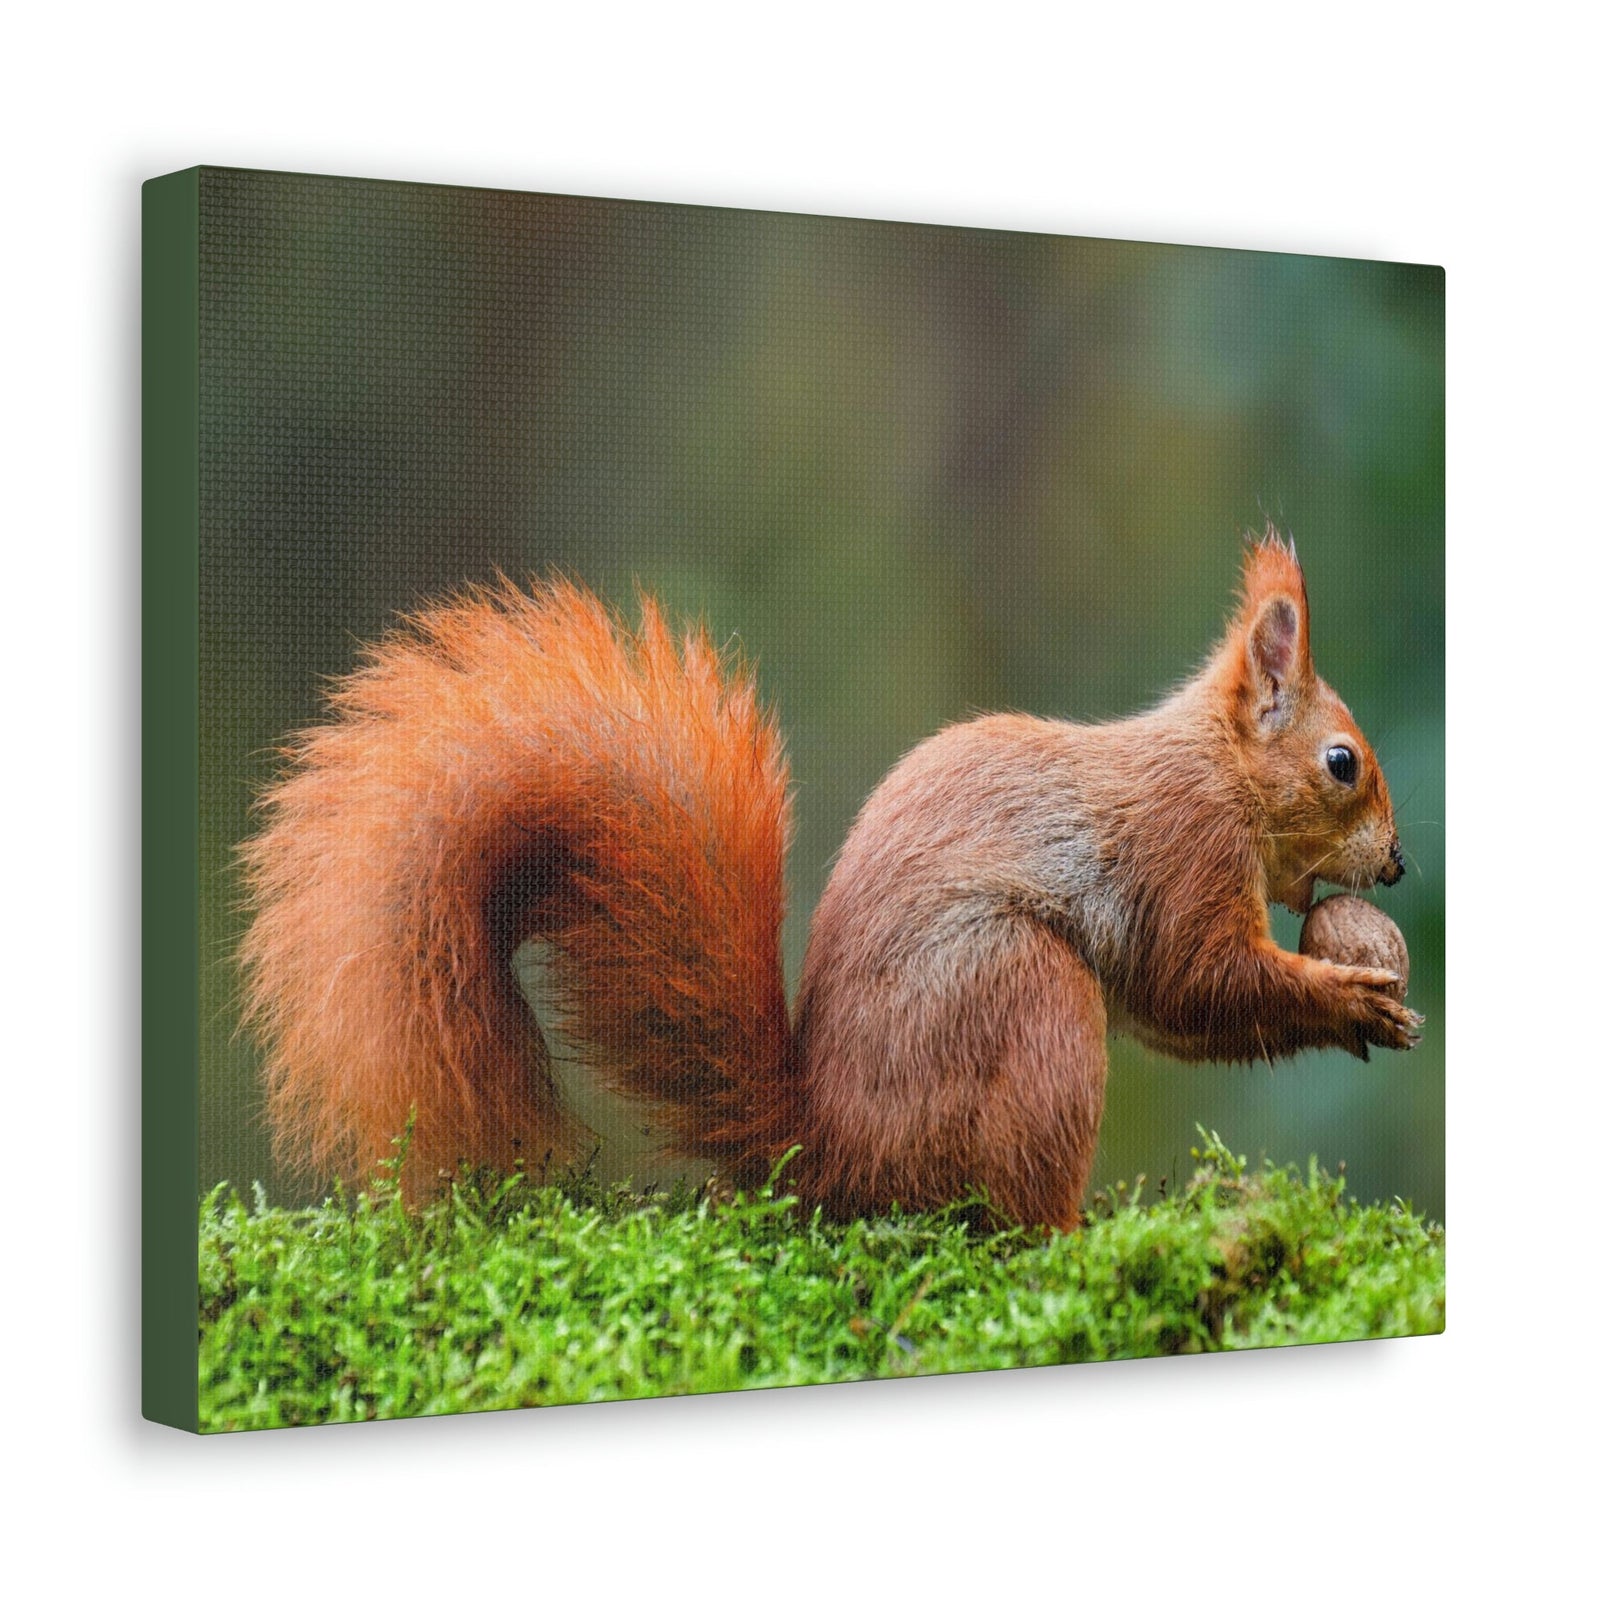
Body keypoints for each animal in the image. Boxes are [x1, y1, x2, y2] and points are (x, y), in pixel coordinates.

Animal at [239, 529, 1420, 1229]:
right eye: (1341, 763)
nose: (1401, 864)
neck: (1217, 771)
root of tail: (826, 1153)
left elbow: (1181, 1012)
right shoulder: (1182, 853)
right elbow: (1199, 980)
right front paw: (1348, 997)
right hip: (1018, 993)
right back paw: (1070, 1237)